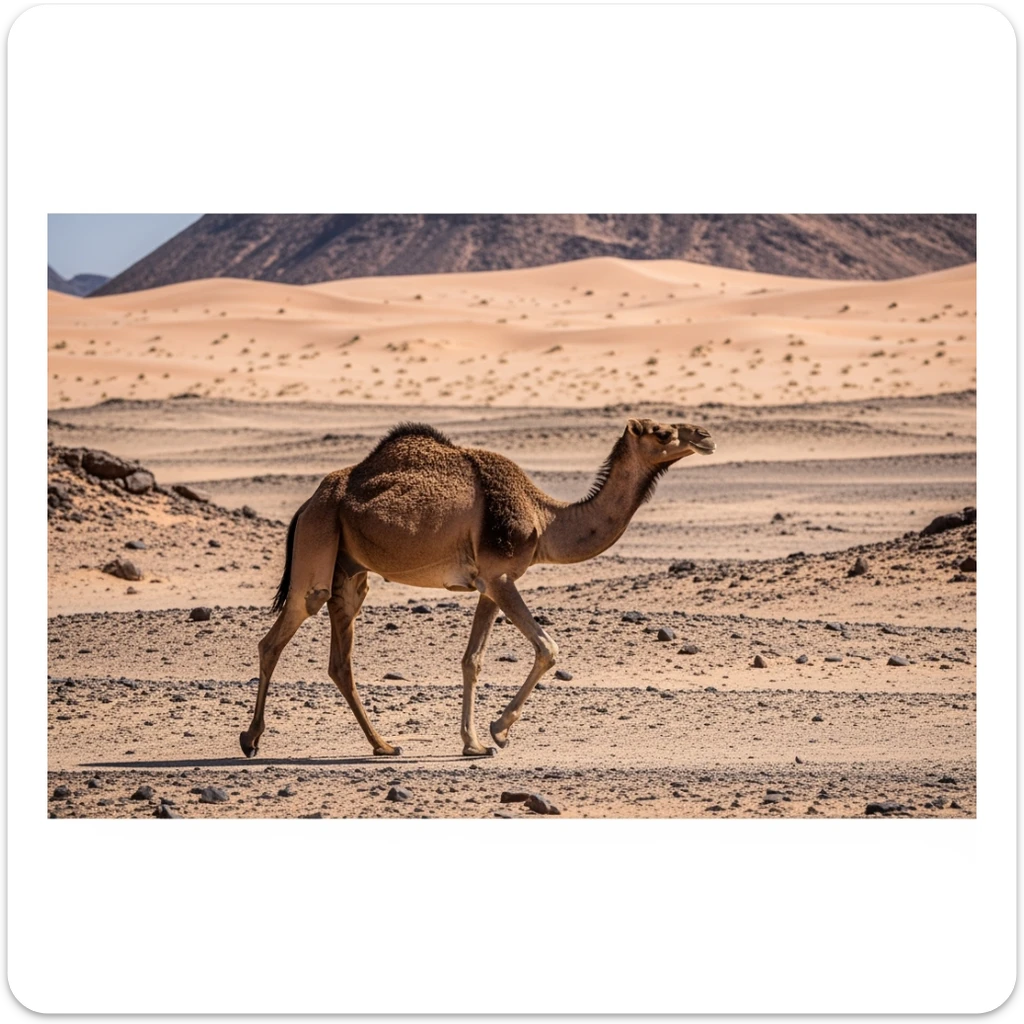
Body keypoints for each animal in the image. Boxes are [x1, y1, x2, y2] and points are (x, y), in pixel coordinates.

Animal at [240, 417, 716, 759]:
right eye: (663, 431)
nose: (706, 436)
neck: (544, 519)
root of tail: (307, 502)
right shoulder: (501, 577)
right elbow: (548, 647)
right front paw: (498, 732)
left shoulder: (489, 585)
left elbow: (472, 660)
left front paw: (473, 742)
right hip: (319, 540)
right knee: (278, 635)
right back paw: (250, 739)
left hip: (350, 570)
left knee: (340, 660)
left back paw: (384, 745)